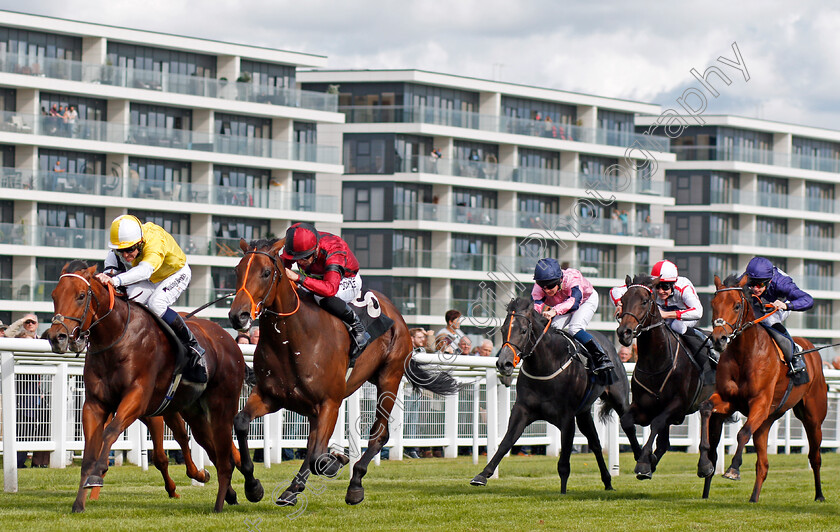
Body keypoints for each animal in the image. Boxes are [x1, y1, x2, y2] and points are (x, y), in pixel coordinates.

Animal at [45, 262, 248, 512]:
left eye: (81, 295)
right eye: (54, 295)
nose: (57, 337)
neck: (117, 337)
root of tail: (226, 336)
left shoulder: (138, 398)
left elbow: (111, 432)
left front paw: (98, 474)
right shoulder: (95, 403)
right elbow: (90, 450)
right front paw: (80, 502)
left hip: (219, 404)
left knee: (217, 445)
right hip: (193, 410)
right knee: (207, 443)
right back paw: (229, 488)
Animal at [226, 240, 456, 508]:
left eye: (265, 272)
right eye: (237, 271)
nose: (238, 315)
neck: (293, 339)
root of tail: (397, 316)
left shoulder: (330, 403)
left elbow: (318, 454)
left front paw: (336, 461)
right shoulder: (269, 396)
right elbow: (241, 422)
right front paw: (253, 486)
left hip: (389, 377)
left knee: (379, 434)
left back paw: (354, 484)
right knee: (314, 442)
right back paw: (292, 490)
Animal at [470, 298, 640, 492]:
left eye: (523, 330)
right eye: (503, 330)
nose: (503, 363)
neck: (546, 365)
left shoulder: (567, 417)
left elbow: (564, 460)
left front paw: (563, 492)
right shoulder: (522, 410)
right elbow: (506, 443)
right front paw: (482, 475)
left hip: (618, 398)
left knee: (628, 427)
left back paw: (641, 464)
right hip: (583, 412)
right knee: (595, 443)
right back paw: (608, 482)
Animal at [612, 276, 712, 480]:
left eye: (644, 301)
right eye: (623, 300)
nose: (624, 332)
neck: (656, 363)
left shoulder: (677, 405)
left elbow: (657, 423)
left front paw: (644, 462)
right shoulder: (644, 405)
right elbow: (626, 421)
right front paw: (643, 457)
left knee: (706, 412)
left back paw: (705, 464)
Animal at [696, 274, 828, 502]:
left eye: (737, 305)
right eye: (713, 304)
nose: (719, 339)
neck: (745, 353)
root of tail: (812, 349)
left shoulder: (760, 402)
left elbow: (742, 433)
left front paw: (733, 469)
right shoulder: (729, 400)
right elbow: (706, 408)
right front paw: (705, 465)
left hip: (813, 417)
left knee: (815, 456)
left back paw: (819, 495)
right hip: (767, 422)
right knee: (763, 464)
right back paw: (753, 498)